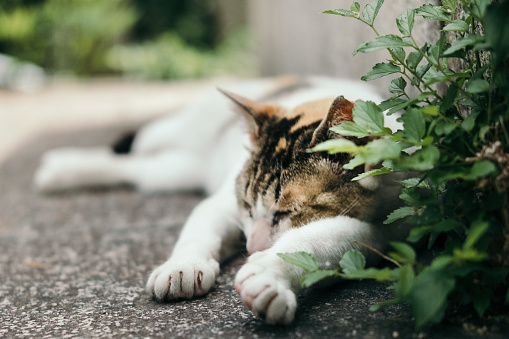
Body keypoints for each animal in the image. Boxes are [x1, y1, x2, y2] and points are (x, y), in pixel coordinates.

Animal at [34, 75, 408, 326]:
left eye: (287, 212)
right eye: (247, 207)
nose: (252, 246)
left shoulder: (387, 226)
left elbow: (331, 237)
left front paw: (270, 276)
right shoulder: (223, 204)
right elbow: (201, 228)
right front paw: (183, 267)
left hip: (174, 171)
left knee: (140, 171)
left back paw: (61, 171)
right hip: (177, 130)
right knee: (136, 149)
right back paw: (61, 167)